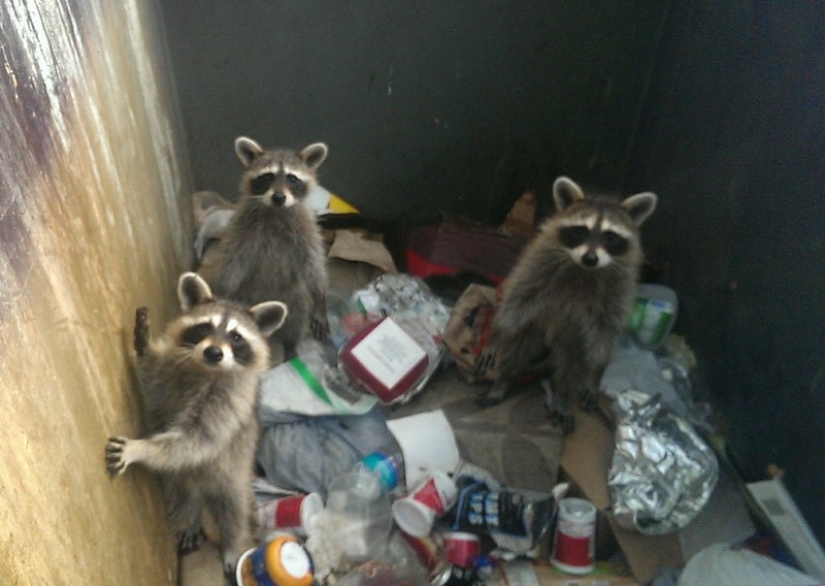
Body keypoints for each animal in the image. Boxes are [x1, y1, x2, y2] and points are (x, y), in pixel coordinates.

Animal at [105, 272, 287, 578]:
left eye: (236, 337)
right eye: (204, 328)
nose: (214, 352)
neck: (206, 370)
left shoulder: (227, 406)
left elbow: (195, 440)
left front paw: (143, 448)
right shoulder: (170, 374)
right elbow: (152, 384)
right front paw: (145, 345)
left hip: (232, 474)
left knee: (233, 510)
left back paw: (232, 542)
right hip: (179, 481)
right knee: (180, 495)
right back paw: (188, 517)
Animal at [199, 136, 330, 361]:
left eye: (292, 178)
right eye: (267, 176)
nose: (279, 197)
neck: (276, 211)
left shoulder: (306, 230)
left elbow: (313, 264)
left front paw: (320, 297)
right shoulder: (242, 229)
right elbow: (233, 262)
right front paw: (222, 291)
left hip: (291, 294)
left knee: (298, 314)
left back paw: (290, 345)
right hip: (244, 294)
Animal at [474, 176, 657, 433]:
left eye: (610, 236)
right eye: (580, 231)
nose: (590, 258)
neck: (584, 268)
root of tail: (552, 340)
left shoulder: (616, 289)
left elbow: (605, 329)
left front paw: (597, 370)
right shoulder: (539, 266)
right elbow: (517, 302)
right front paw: (496, 335)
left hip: (572, 342)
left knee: (572, 370)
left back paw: (564, 399)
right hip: (535, 328)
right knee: (517, 353)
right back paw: (503, 381)